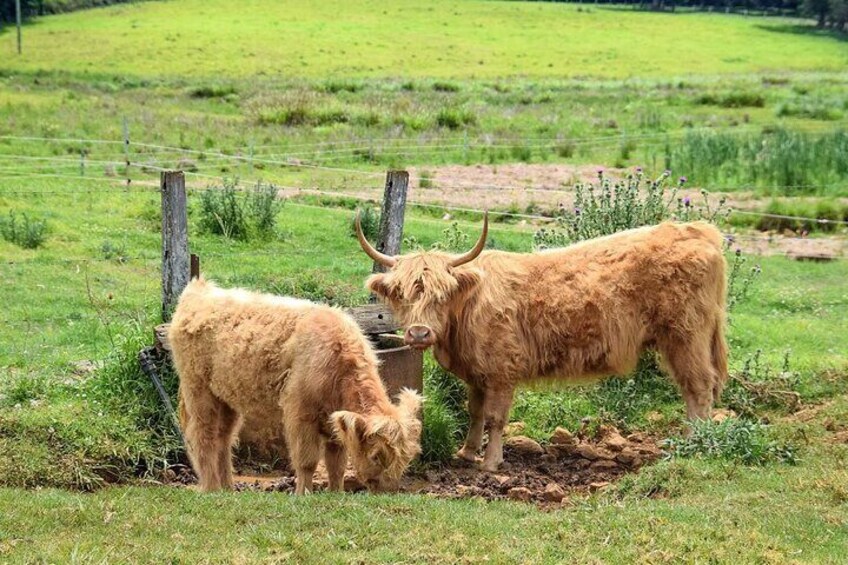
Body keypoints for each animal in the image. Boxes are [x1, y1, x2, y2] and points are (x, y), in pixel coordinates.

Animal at [167, 280, 422, 492]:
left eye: (408, 457)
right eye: (376, 455)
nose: (388, 491)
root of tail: (198, 290)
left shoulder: (332, 420)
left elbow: (336, 463)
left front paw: (336, 493)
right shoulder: (300, 413)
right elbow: (307, 461)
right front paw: (303, 494)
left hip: (226, 397)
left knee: (224, 439)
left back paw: (228, 488)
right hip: (198, 391)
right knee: (204, 437)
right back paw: (211, 489)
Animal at [358, 216, 728, 472]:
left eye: (442, 295)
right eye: (402, 294)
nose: (419, 334)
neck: (468, 308)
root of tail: (697, 229)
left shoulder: (502, 372)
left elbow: (495, 418)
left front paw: (490, 462)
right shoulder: (477, 374)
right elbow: (474, 412)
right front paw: (466, 453)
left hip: (686, 336)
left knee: (699, 386)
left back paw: (695, 444)